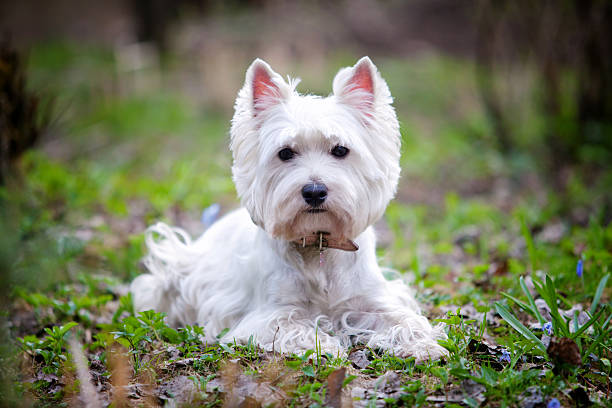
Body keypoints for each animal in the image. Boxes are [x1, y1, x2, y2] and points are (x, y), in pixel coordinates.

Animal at [130, 56, 444, 360]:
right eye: (285, 153)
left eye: (340, 150)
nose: (314, 191)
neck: (319, 245)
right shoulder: (269, 313)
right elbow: (292, 325)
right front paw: (325, 346)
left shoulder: (371, 300)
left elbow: (405, 319)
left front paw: (424, 345)